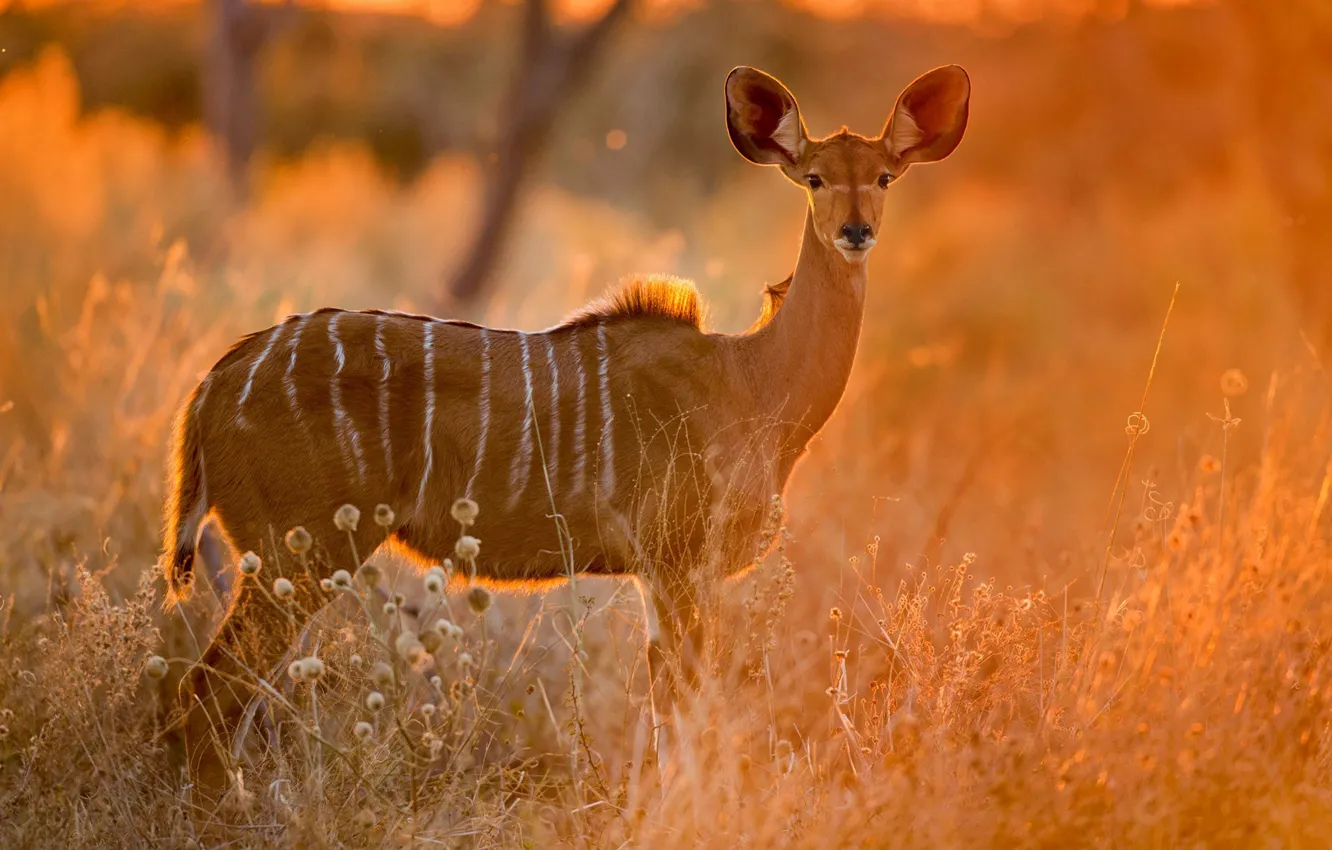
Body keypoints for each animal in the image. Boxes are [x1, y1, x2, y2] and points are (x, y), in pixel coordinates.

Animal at [165, 63, 970, 806]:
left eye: (885, 176)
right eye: (813, 178)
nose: (856, 232)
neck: (750, 379)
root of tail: (212, 386)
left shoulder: (664, 577)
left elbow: (673, 706)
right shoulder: (678, 564)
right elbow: (689, 710)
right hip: (295, 557)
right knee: (204, 695)